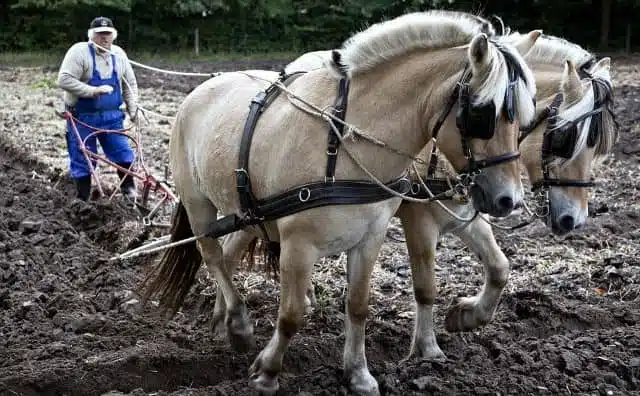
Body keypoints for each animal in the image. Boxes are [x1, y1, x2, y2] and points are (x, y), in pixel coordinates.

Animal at [142, 10, 544, 394]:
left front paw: (359, 373)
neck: (344, 143)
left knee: (227, 254)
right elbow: (291, 315)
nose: (508, 199)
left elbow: (361, 304)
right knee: (211, 254)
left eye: (526, 117)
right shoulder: (306, 243)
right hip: (198, 203)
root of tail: (202, 87)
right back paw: (239, 322)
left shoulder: (374, 237)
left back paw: (223, 320)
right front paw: (268, 372)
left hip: (251, 212)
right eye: (481, 114)